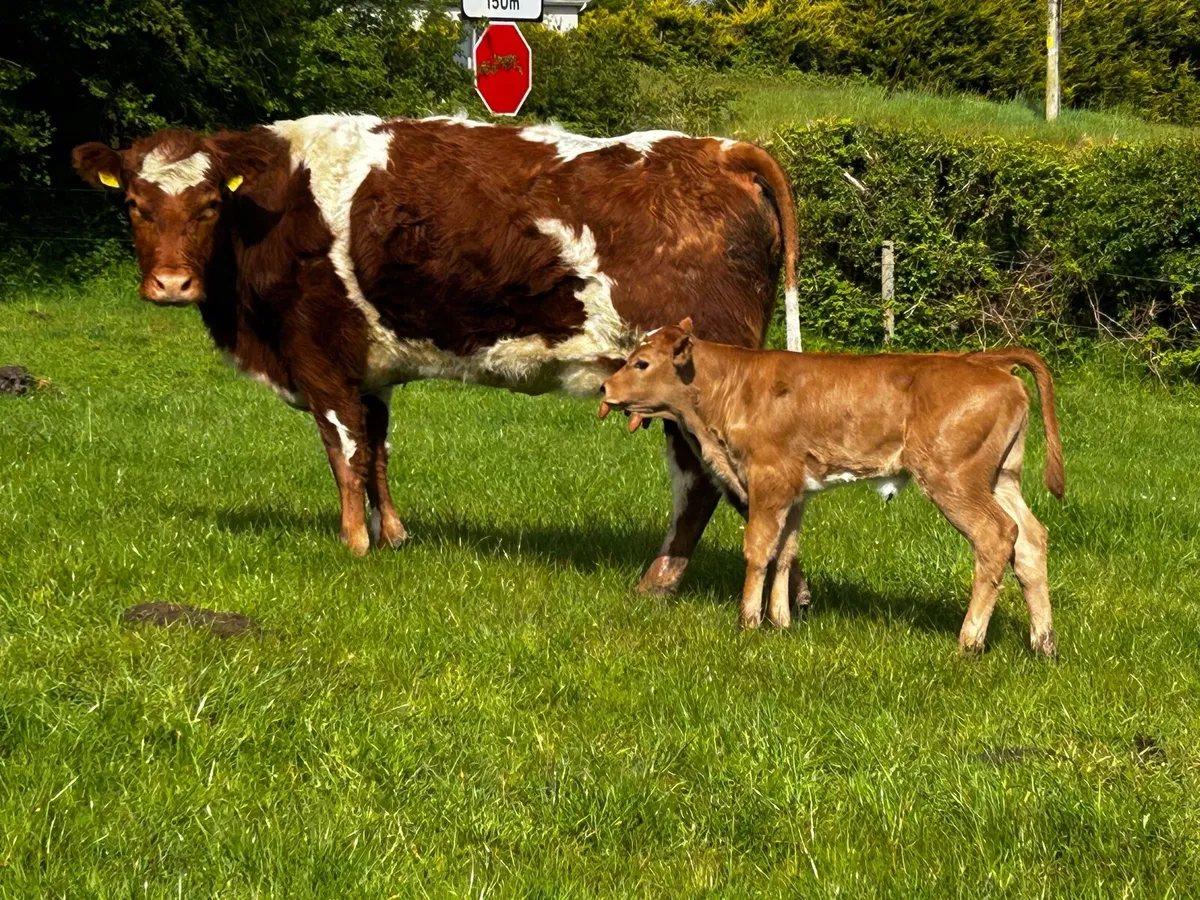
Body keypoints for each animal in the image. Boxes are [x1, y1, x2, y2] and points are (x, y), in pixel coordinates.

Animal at [72, 114, 799, 592]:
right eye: (134, 203)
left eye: (206, 207)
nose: (171, 284)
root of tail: (723, 149)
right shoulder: (369, 371)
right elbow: (377, 452)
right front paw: (392, 534)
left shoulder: (319, 356)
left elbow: (345, 453)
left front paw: (354, 545)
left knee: (701, 480)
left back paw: (663, 580)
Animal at [598, 319, 1065, 656]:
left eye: (642, 363)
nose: (604, 387)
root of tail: (986, 360)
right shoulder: (795, 490)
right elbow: (786, 551)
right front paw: (780, 622)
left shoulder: (768, 478)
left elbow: (758, 550)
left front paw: (747, 622)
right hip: (1001, 477)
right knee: (1031, 539)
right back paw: (1044, 644)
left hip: (954, 478)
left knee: (996, 536)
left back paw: (969, 641)